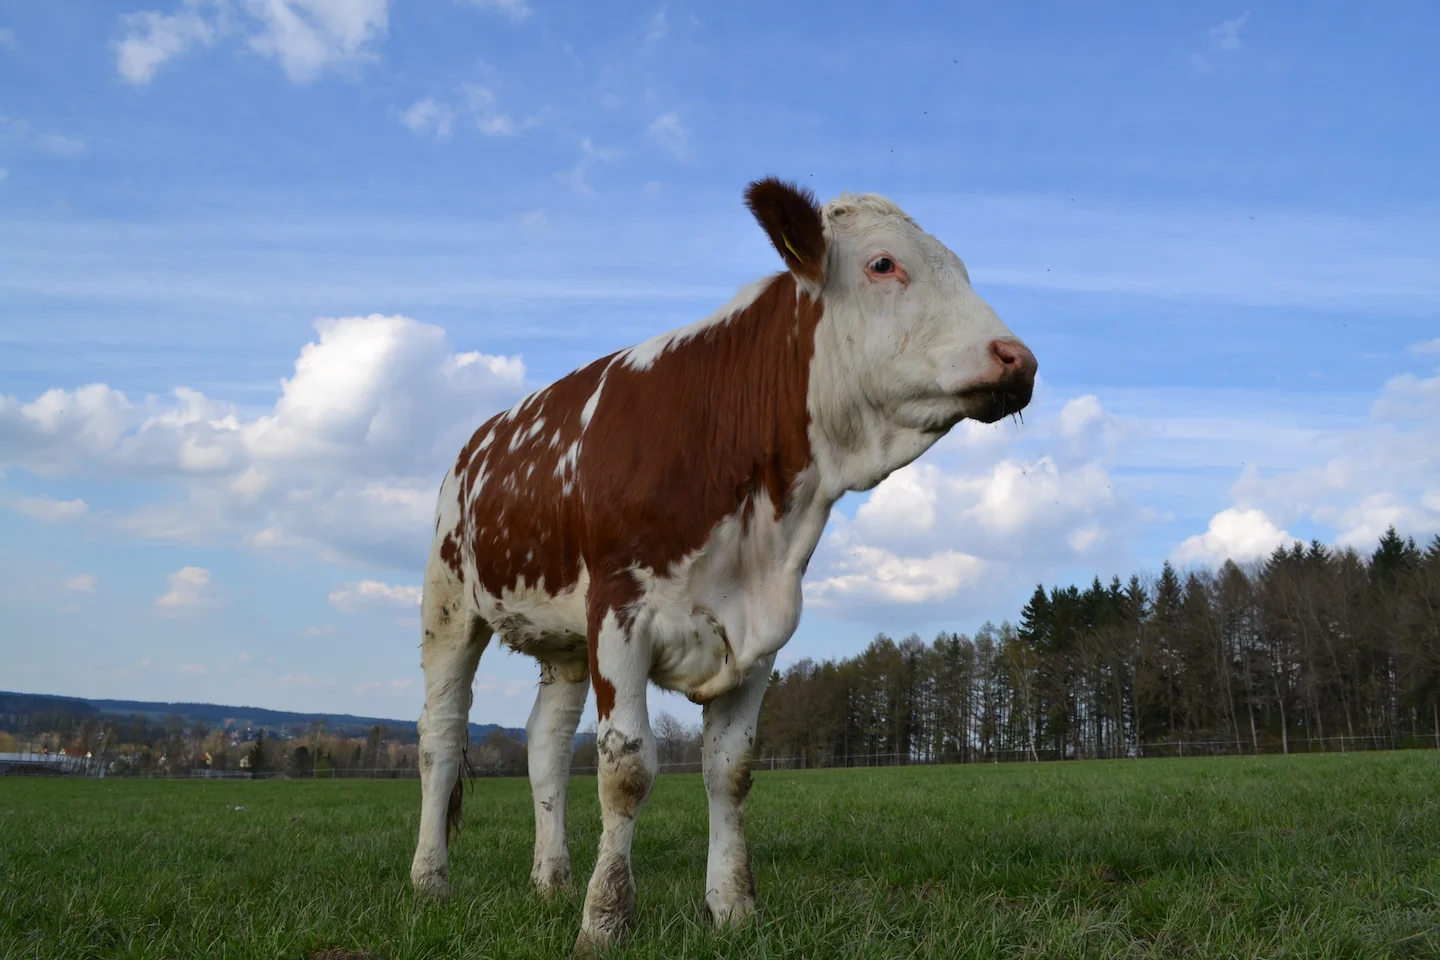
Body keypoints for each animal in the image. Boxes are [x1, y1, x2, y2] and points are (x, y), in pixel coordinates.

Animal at [408, 177, 1037, 951]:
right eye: (884, 264)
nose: (1019, 358)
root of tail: (477, 441)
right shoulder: (619, 610)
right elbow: (626, 768)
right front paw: (604, 920)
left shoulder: (761, 632)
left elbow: (729, 771)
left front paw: (733, 908)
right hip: (447, 602)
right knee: (440, 736)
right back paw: (430, 880)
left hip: (563, 641)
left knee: (545, 746)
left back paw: (551, 880)